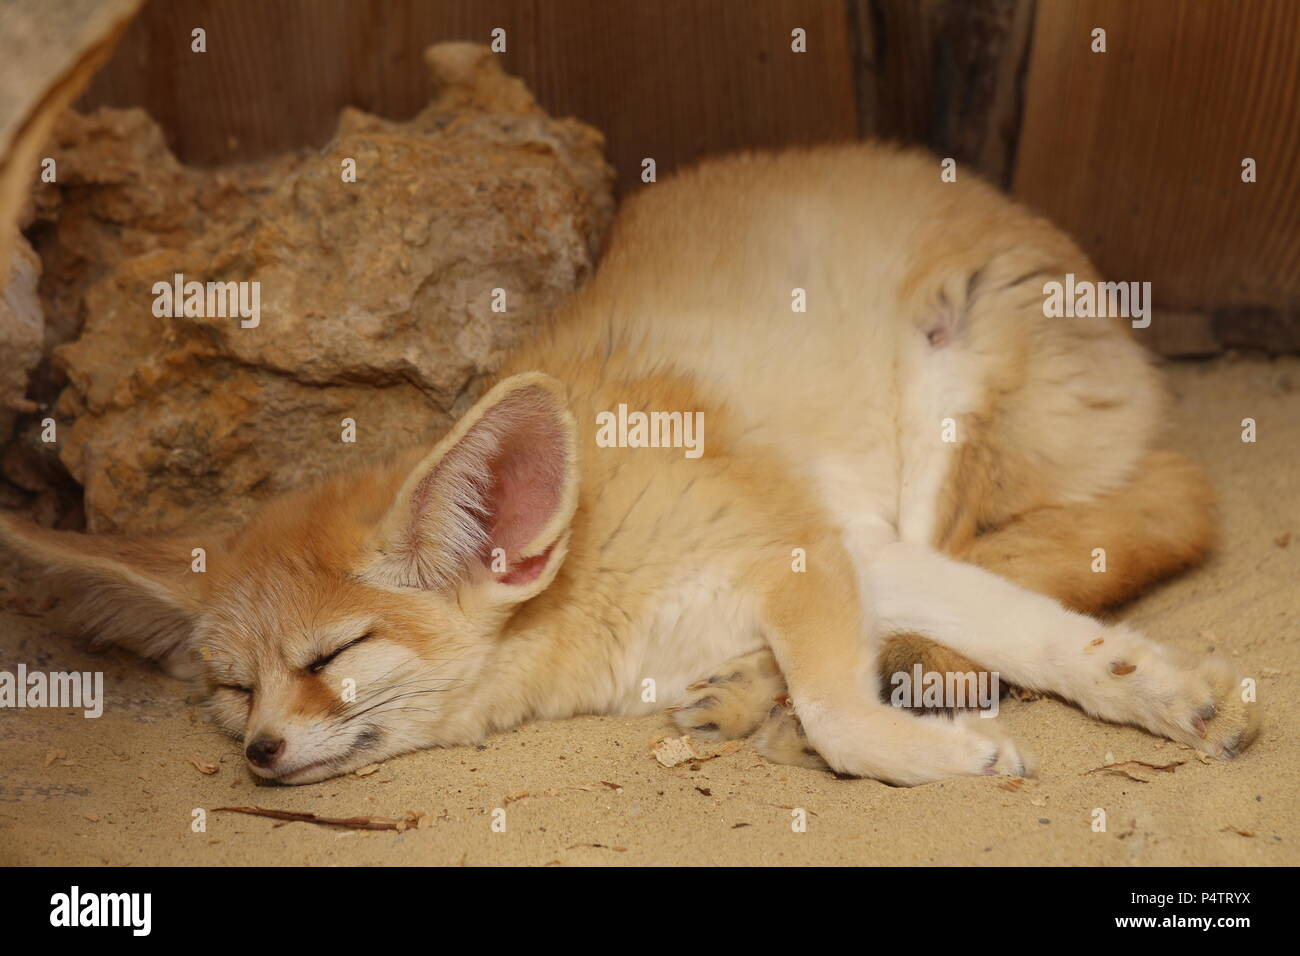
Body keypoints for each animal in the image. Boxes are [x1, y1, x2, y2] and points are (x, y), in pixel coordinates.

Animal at [0, 143, 1259, 786]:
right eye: (229, 689)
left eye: (331, 655)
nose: (259, 750)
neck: (590, 585)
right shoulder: (828, 565)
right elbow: (848, 678)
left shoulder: (825, 542)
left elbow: (884, 693)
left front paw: (1151, 695)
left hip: (943, 404)